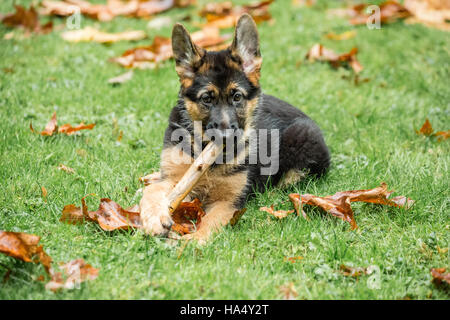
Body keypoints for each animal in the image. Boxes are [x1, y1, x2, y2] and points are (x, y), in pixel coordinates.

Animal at [139, 13, 328, 241]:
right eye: (207, 99)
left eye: (237, 97)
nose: (226, 136)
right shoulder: (175, 177)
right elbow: (153, 191)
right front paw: (154, 218)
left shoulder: (228, 202)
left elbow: (210, 222)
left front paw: (192, 242)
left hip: (303, 140)